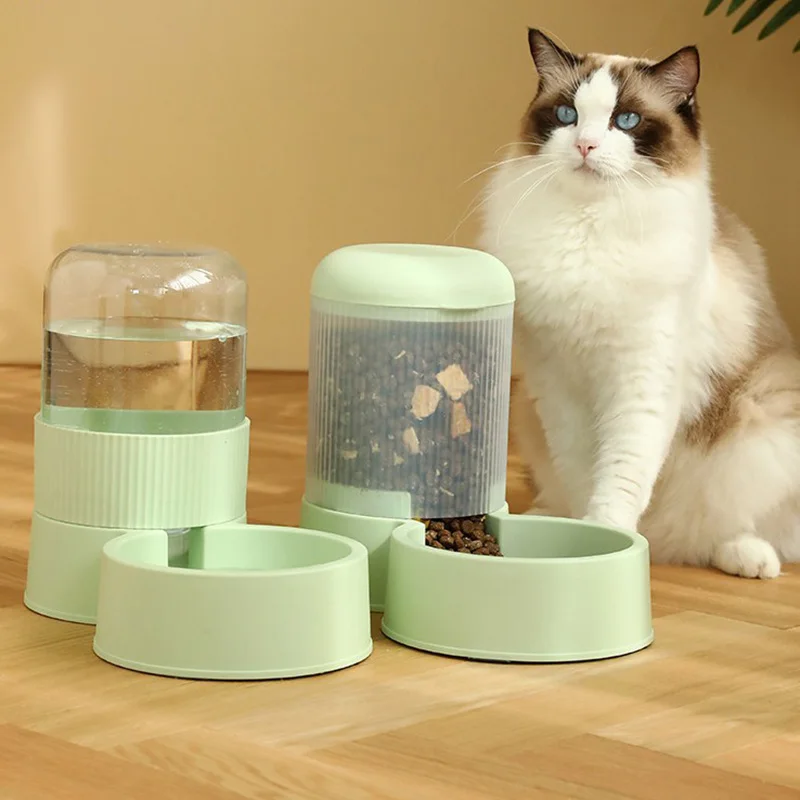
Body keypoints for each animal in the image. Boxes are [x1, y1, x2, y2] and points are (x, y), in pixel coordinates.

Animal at [479, 29, 800, 579]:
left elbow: (620, 479)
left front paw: (606, 545)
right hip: (526, 409)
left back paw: (748, 557)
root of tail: (666, 542)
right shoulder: (558, 384)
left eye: (625, 121)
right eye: (566, 114)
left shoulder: (642, 382)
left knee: (727, 523)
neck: (588, 228)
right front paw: (583, 543)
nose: (585, 145)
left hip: (767, 414)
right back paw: (549, 516)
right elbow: (585, 474)